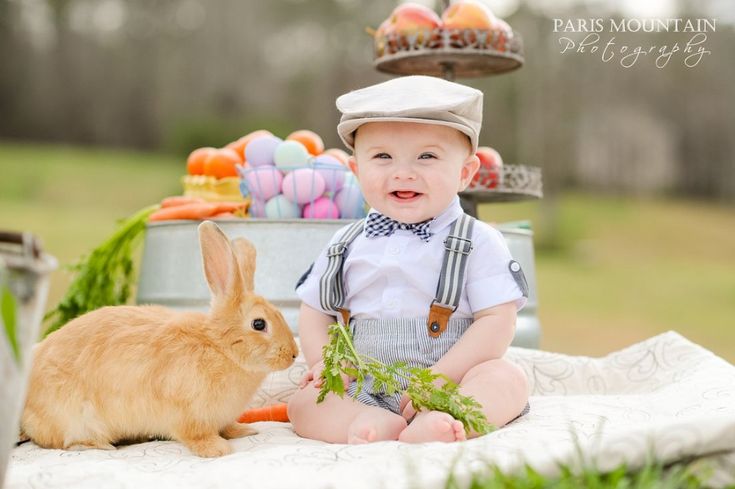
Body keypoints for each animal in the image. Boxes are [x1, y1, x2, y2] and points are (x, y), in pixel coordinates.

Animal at [21, 219, 300, 456]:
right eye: (259, 324)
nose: (294, 354)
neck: (219, 347)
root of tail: (26, 413)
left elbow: (227, 426)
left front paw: (244, 430)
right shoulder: (188, 414)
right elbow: (196, 435)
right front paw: (218, 449)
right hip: (76, 419)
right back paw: (97, 445)